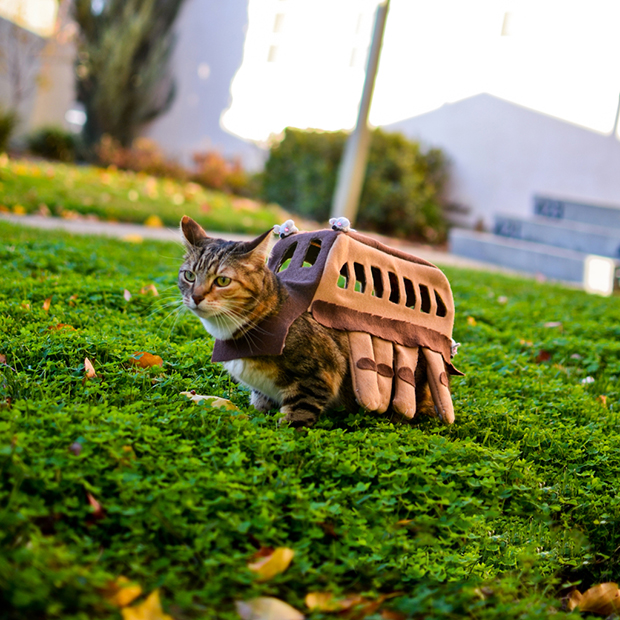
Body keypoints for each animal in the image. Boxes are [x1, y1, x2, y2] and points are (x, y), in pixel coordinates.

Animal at [177, 217, 434, 426]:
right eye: (189, 276)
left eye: (222, 280)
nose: (196, 297)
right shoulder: (263, 391)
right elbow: (260, 404)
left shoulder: (320, 375)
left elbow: (297, 416)